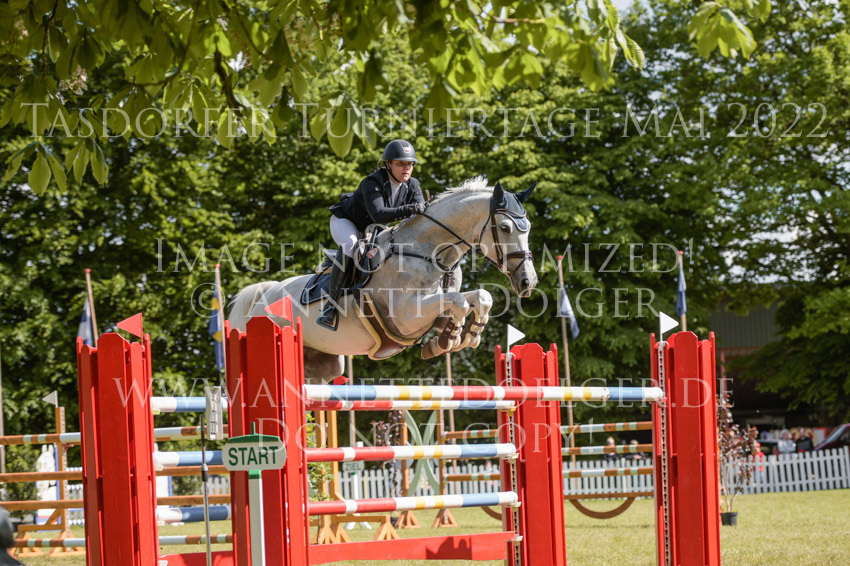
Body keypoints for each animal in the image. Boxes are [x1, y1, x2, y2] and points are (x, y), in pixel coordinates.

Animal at [228, 177, 537, 383]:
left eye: (528, 227)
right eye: (506, 227)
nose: (528, 282)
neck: (430, 252)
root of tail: (264, 297)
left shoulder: (434, 308)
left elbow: (478, 297)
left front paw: (460, 337)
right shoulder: (406, 316)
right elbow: (458, 302)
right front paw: (449, 341)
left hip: (321, 366)